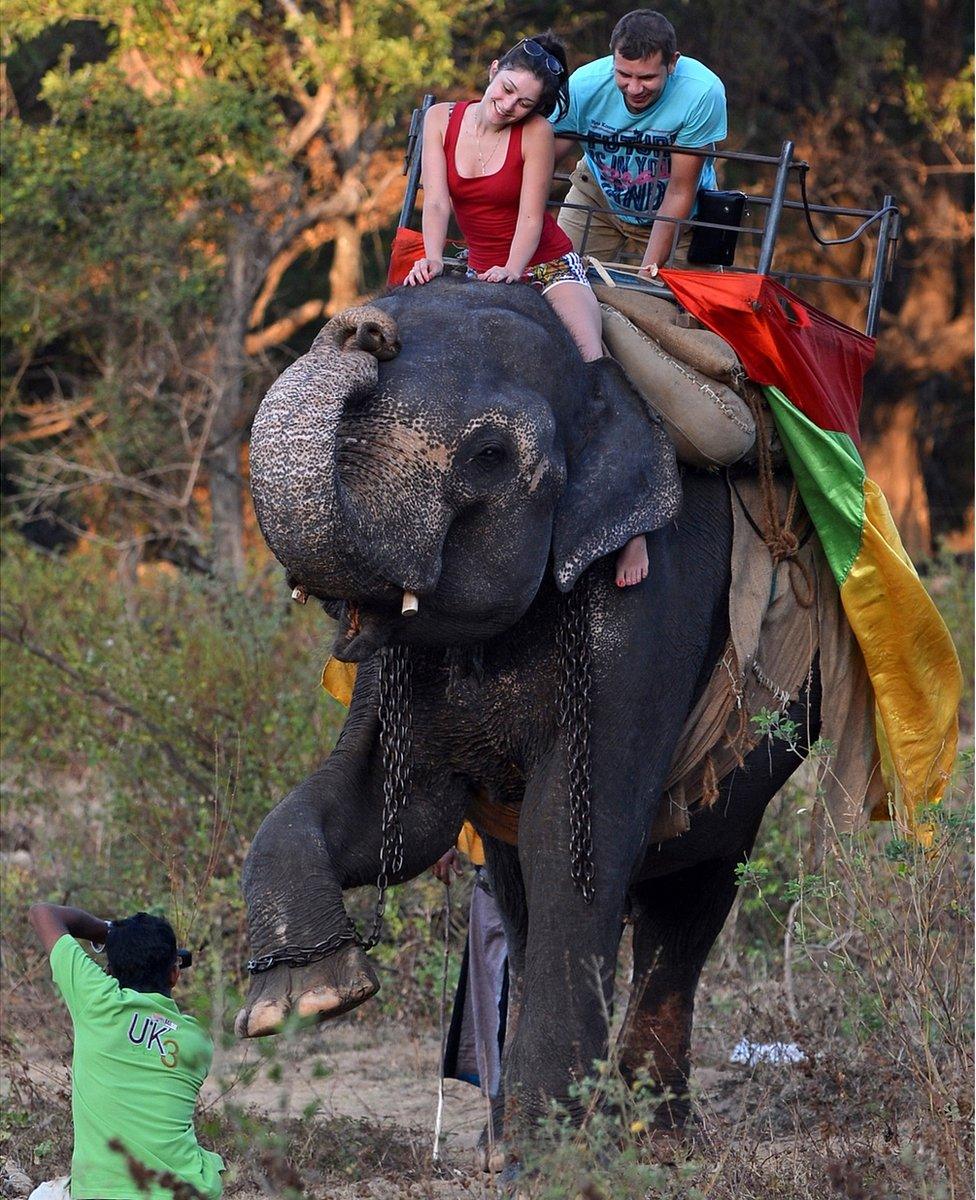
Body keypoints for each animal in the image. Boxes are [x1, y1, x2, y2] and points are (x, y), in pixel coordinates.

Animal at [237, 276, 821, 1137]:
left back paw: (652, 1134)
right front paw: (304, 1000)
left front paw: (554, 1142)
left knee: (691, 891)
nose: (361, 330)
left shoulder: (649, 602)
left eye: (489, 456)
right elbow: (401, 815)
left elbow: (572, 835)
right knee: (522, 893)